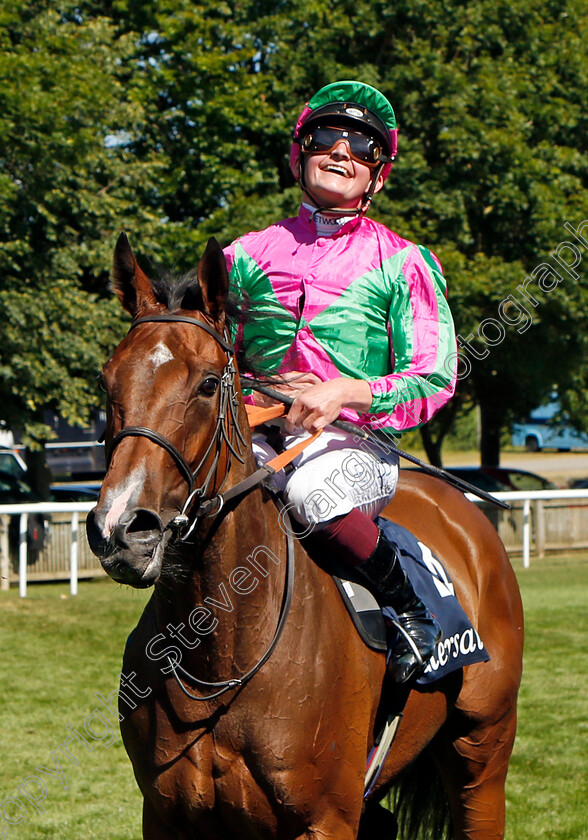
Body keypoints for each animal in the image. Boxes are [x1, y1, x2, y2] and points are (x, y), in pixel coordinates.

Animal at [86, 235, 524, 840]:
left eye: (206, 384)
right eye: (107, 381)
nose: (122, 529)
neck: (225, 655)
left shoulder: (325, 817)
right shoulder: (166, 813)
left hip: (481, 754)